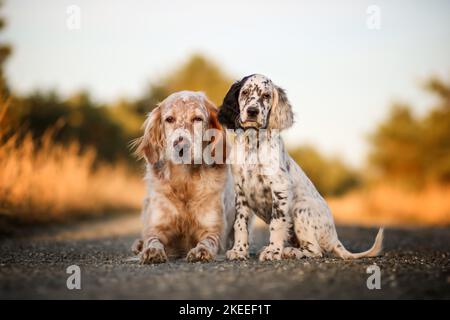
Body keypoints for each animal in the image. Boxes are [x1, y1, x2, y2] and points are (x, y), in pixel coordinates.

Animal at [218, 74, 384, 262]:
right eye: (245, 92)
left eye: (266, 96)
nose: (252, 112)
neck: (254, 145)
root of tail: (334, 238)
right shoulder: (241, 192)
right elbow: (240, 224)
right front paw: (239, 250)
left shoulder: (280, 188)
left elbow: (277, 223)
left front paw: (273, 251)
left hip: (300, 210)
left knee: (315, 250)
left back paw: (289, 251)